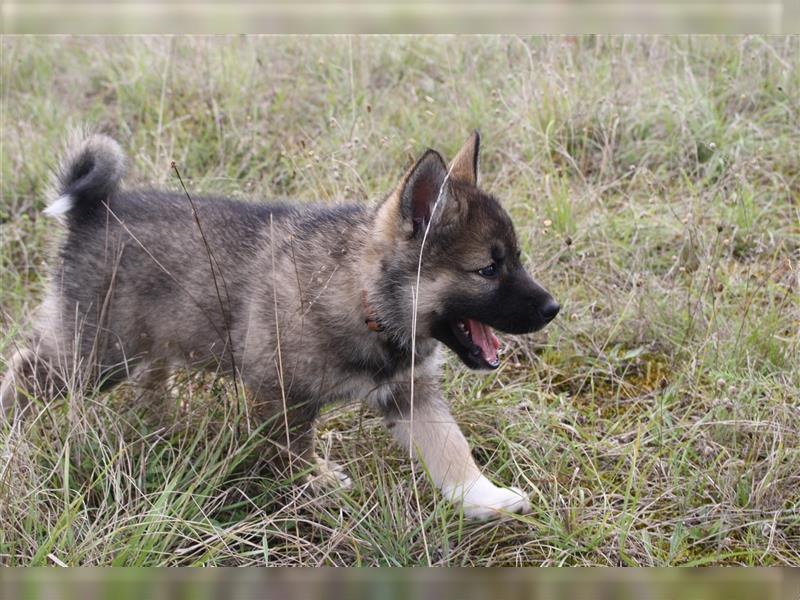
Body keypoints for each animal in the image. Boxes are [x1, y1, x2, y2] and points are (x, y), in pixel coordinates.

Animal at [3, 132, 560, 520]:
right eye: (488, 270)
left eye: (515, 260)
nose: (553, 308)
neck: (367, 300)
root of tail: (92, 211)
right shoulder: (280, 396)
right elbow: (295, 452)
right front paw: (314, 485)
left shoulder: (412, 394)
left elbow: (450, 448)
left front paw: (481, 496)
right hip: (96, 354)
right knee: (26, 369)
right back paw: (14, 435)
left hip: (139, 346)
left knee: (146, 382)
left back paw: (158, 422)